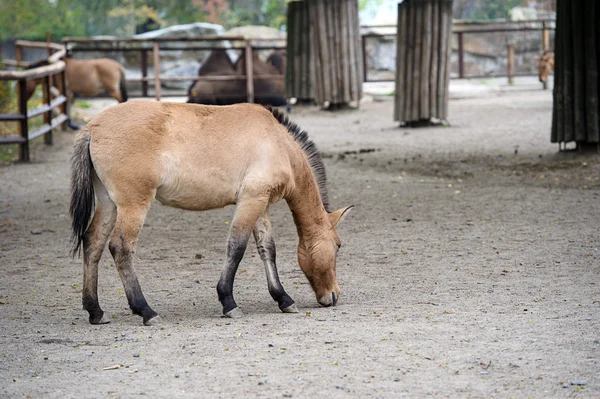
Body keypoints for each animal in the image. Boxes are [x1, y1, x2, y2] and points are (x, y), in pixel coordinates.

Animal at [70, 101, 352, 326]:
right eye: (338, 245)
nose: (333, 296)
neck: (279, 143)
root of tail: (92, 128)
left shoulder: (261, 204)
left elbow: (267, 250)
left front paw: (283, 299)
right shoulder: (251, 202)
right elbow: (236, 247)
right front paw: (228, 302)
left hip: (109, 203)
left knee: (93, 244)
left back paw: (95, 311)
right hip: (133, 205)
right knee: (120, 248)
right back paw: (146, 311)